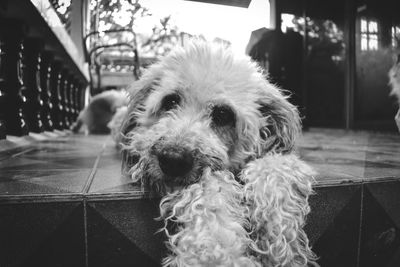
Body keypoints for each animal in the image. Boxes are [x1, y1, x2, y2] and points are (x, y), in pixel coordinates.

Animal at [117, 40, 318, 266]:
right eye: (170, 101)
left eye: (223, 114)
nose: (172, 159)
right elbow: (208, 197)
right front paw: (215, 250)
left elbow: (276, 167)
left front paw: (280, 237)